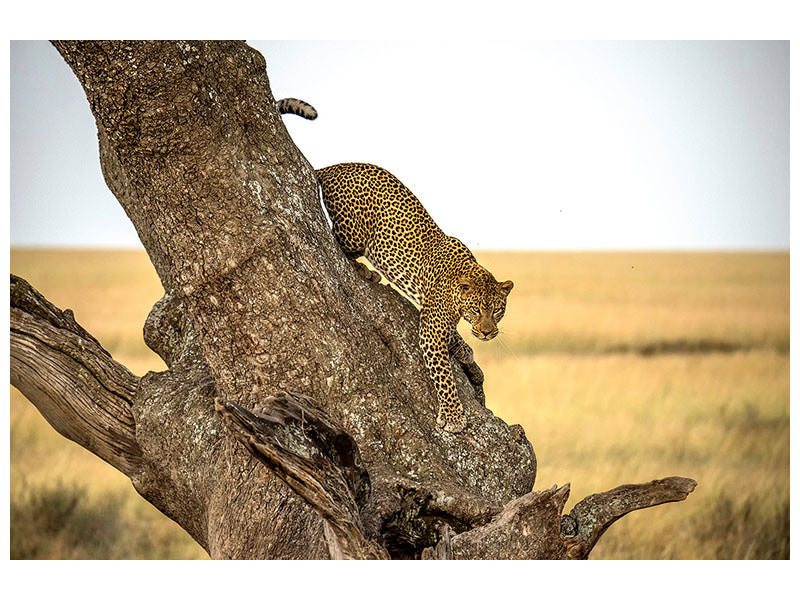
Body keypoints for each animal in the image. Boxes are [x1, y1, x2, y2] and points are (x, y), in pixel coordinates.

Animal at [276, 98, 512, 434]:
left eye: (498, 310)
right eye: (478, 309)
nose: (488, 333)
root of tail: (332, 167)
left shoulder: (431, 314)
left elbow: (453, 337)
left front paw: (464, 349)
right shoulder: (431, 329)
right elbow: (444, 376)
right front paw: (453, 416)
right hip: (355, 231)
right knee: (336, 240)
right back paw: (366, 271)